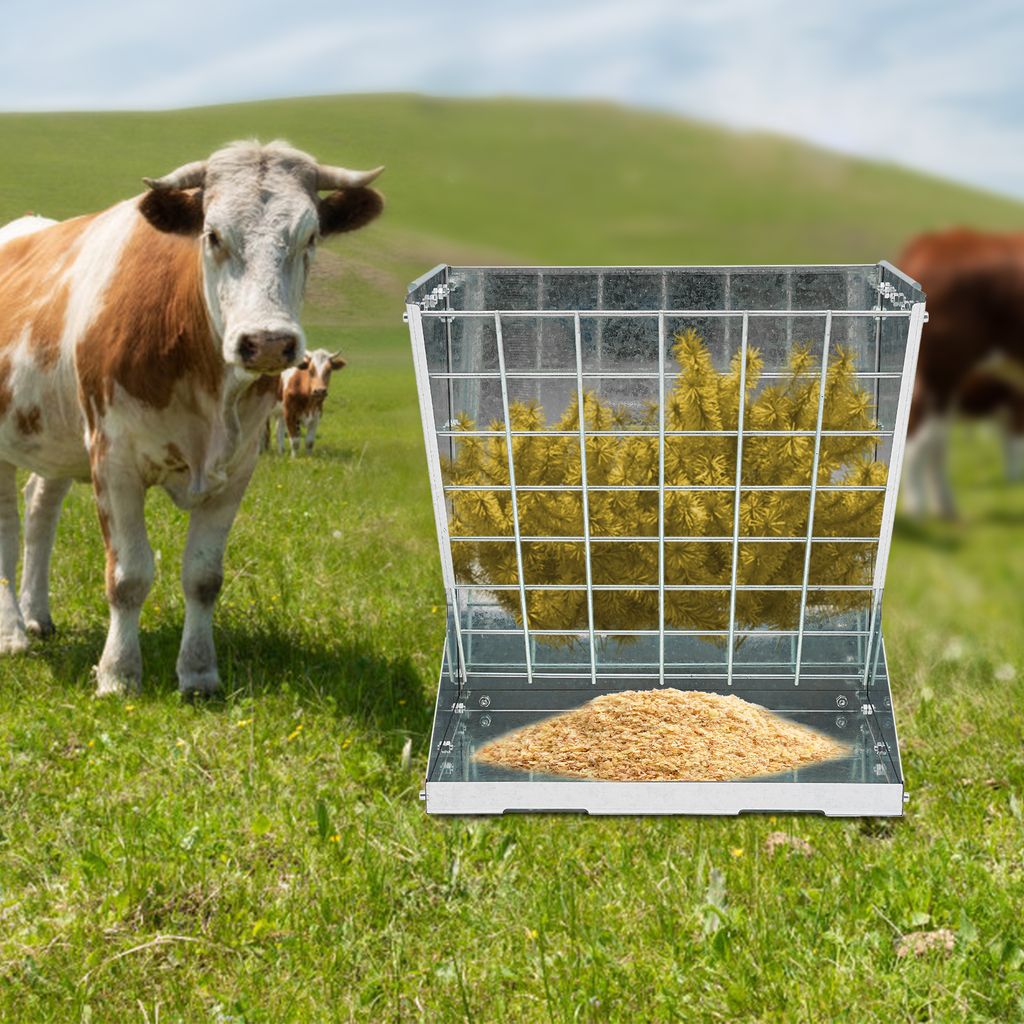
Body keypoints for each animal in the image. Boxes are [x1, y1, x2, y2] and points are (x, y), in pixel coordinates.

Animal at [0, 140, 383, 695]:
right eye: (213, 234)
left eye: (310, 236)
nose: (268, 341)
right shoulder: (113, 459)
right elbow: (128, 575)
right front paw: (118, 673)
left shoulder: (238, 466)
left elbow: (203, 577)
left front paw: (199, 672)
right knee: (7, 528)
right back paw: (12, 633)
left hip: (56, 434)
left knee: (38, 511)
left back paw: (36, 614)